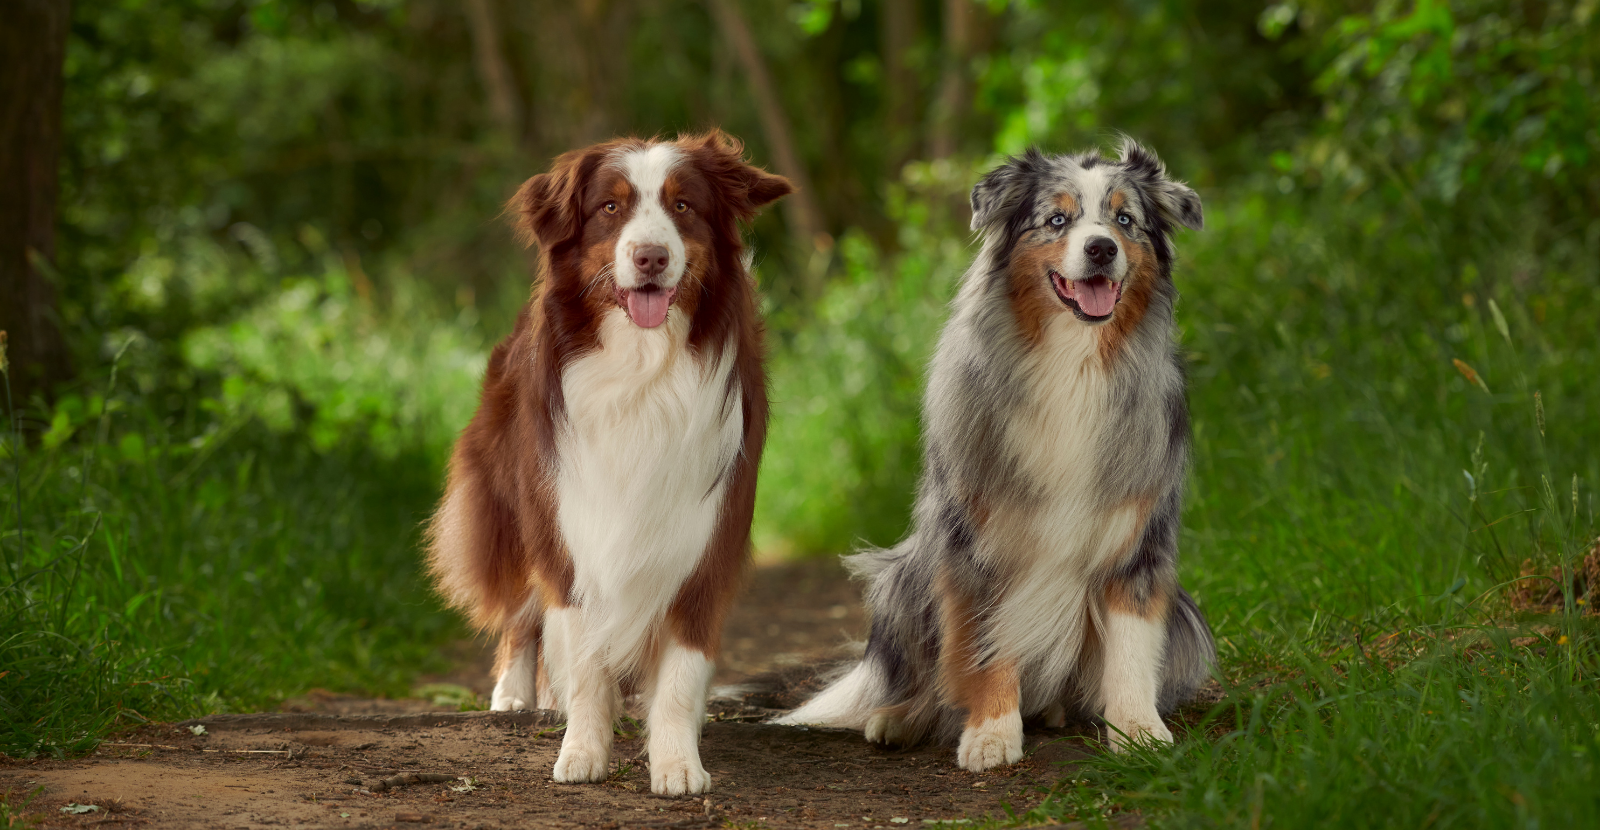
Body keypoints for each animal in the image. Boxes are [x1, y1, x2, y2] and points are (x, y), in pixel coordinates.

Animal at [428, 133, 790, 796]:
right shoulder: (571, 524)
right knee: (522, 612)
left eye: (683, 205)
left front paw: (677, 762)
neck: (640, 370)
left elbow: (679, 673)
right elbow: (586, 657)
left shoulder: (705, 537)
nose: (650, 257)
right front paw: (583, 751)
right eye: (610, 208)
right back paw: (515, 694)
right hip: (514, 506)